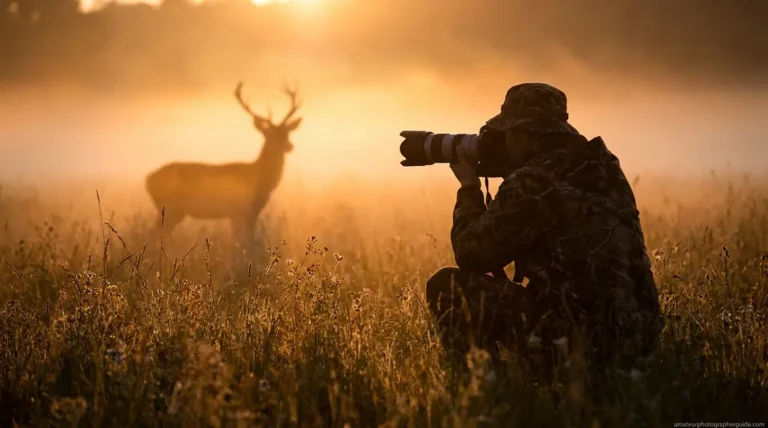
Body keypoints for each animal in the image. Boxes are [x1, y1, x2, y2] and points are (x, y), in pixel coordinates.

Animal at [145, 81, 302, 244]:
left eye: (287, 132)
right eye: (269, 134)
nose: (290, 146)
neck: (259, 180)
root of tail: (148, 180)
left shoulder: (248, 214)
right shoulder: (239, 211)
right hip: (172, 208)